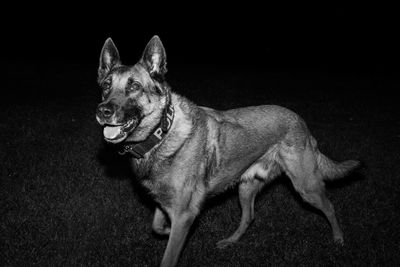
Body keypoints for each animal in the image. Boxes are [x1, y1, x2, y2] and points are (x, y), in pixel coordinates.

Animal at [96, 36, 360, 267]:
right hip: (246, 186)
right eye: (106, 86)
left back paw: (338, 239)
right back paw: (230, 241)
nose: (103, 111)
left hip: (306, 186)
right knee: (249, 216)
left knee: (329, 207)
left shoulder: (182, 213)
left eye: (134, 86)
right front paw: (168, 229)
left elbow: (169, 255)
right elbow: (157, 227)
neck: (162, 133)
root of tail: (302, 123)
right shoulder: (166, 205)